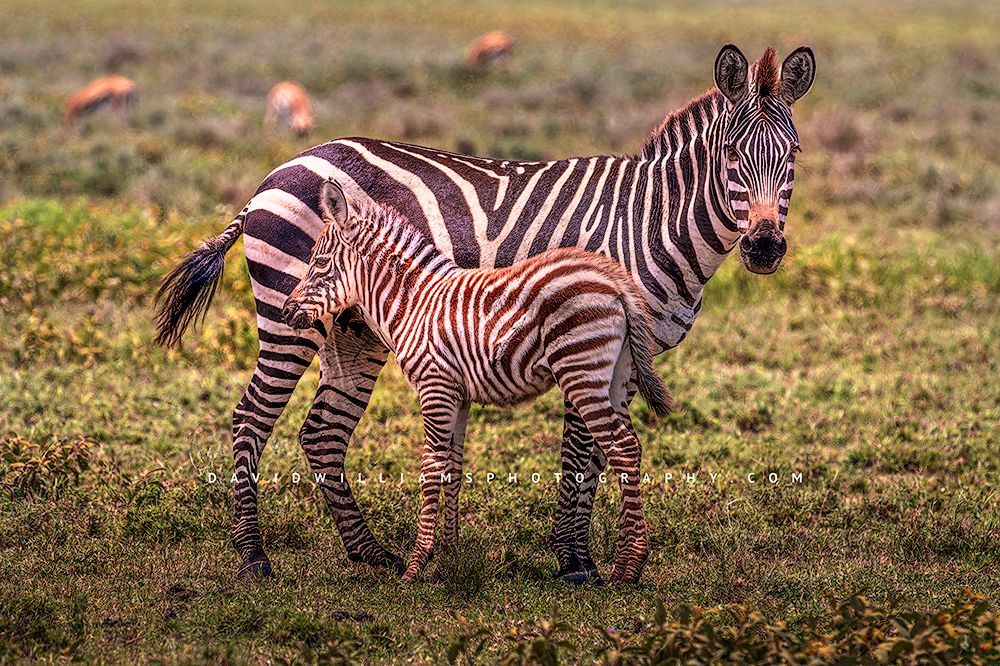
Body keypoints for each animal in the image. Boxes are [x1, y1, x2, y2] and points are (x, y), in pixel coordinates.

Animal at [282, 178, 672, 583]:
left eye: (319, 263)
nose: (285, 312)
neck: (413, 304)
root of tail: (616, 281)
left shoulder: (435, 387)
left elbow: (430, 468)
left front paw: (417, 565)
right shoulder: (460, 395)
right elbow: (453, 468)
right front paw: (450, 555)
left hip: (582, 370)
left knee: (621, 448)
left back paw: (629, 568)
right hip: (614, 377)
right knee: (631, 447)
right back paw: (626, 562)